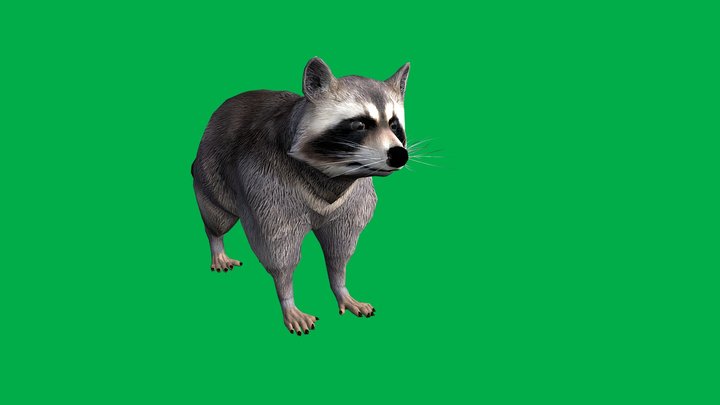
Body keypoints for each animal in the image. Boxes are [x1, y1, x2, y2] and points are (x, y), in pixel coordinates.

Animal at [191, 57, 410, 335]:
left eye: (394, 124)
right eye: (359, 124)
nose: (399, 154)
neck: (335, 173)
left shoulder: (354, 199)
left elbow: (340, 247)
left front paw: (340, 287)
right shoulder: (266, 184)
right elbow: (277, 249)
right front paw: (287, 298)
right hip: (211, 169)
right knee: (218, 216)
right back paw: (216, 242)